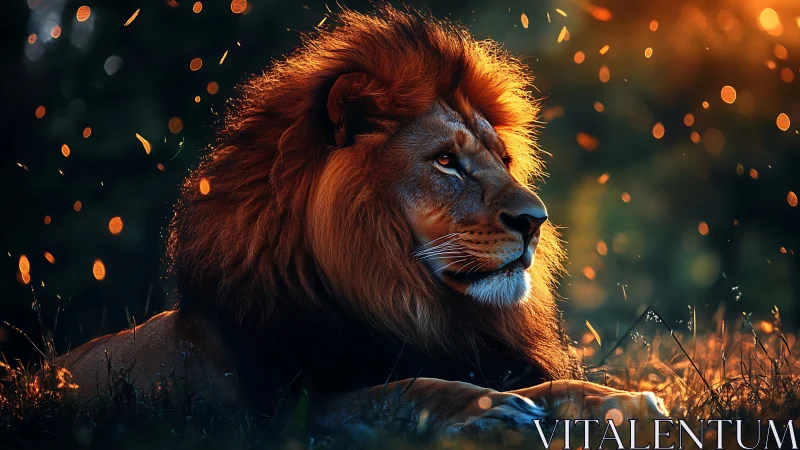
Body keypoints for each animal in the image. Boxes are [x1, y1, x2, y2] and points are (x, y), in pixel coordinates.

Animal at [53, 5, 667, 438]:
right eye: (446, 160)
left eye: (503, 160)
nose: (536, 220)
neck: (398, 294)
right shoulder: (281, 412)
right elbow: (401, 389)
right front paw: (488, 409)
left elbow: (555, 384)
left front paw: (625, 401)